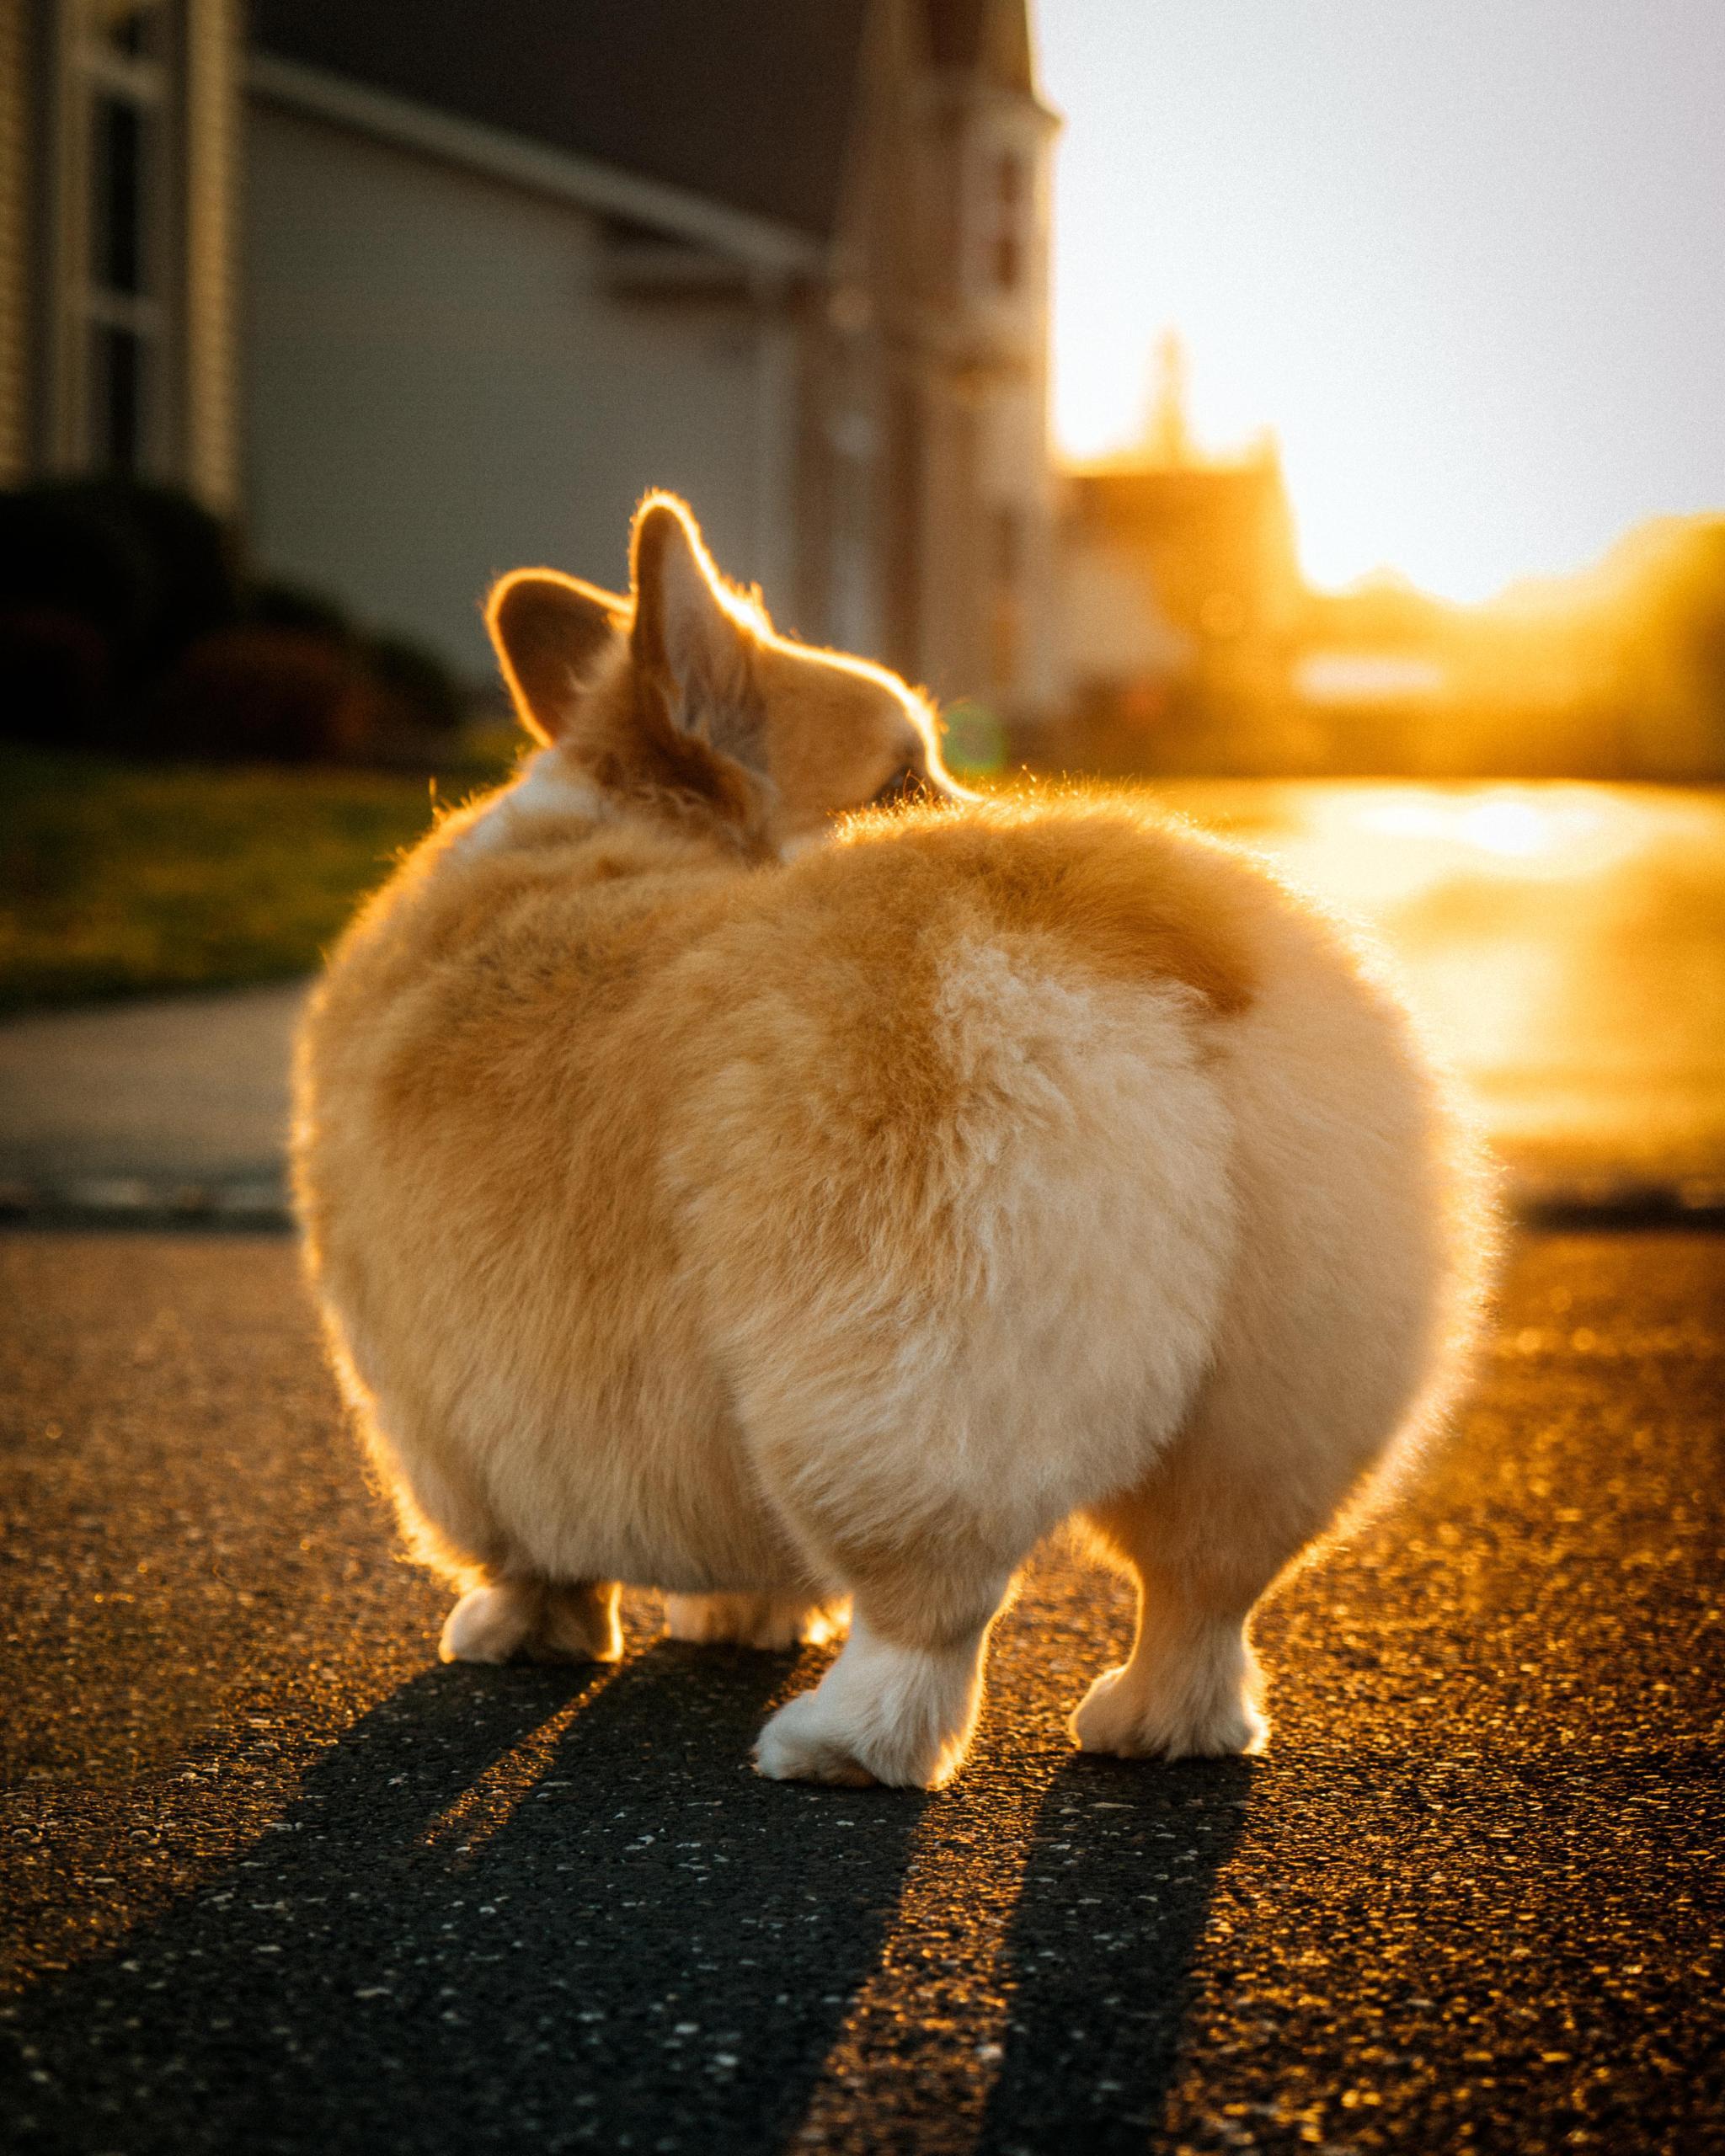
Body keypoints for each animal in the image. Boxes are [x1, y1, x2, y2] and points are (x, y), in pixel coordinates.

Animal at [289, 495, 1492, 1793]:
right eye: (901, 777)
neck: (635, 823)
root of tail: (1141, 916)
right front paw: (740, 1618)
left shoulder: (443, 1399)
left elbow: (524, 1549)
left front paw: (519, 1630)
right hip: (1275, 1390)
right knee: (1204, 1592)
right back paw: (1154, 1723)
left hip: (883, 1381)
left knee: (931, 1605)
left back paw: (838, 1743)